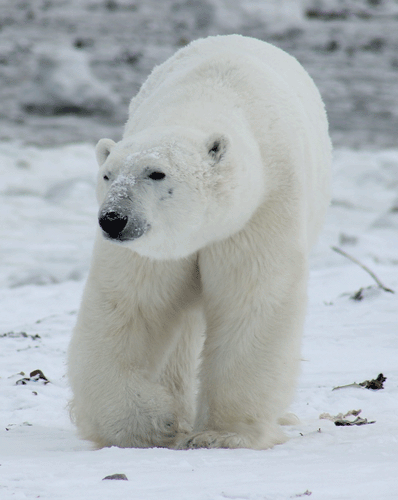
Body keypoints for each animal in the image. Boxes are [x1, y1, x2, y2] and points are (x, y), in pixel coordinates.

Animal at [67, 34, 332, 450]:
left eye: (156, 173)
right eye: (107, 175)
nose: (113, 219)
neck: (206, 99)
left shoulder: (260, 211)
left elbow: (252, 301)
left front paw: (223, 434)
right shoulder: (154, 250)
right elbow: (130, 307)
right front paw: (151, 423)